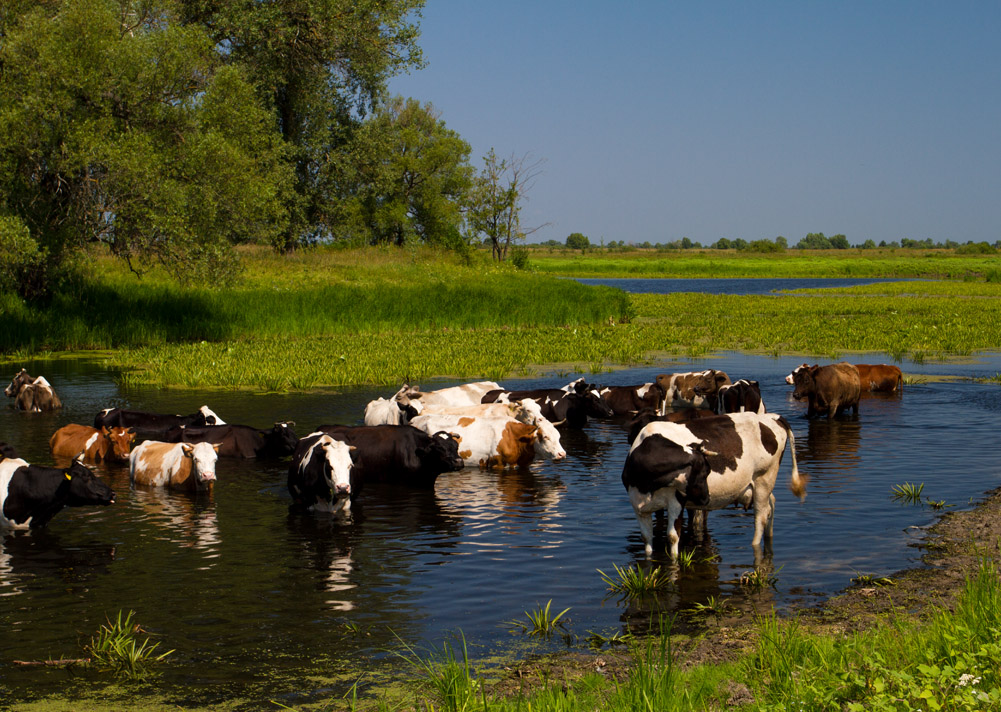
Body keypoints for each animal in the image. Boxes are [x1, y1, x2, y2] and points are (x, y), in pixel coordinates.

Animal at [620, 414, 808, 560]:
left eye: (708, 472)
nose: (706, 498)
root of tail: (772, 417)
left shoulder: (676, 501)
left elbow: (673, 537)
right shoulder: (638, 507)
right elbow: (646, 539)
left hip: (764, 477)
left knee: (761, 515)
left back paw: (754, 544)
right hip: (760, 484)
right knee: (772, 504)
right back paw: (769, 535)